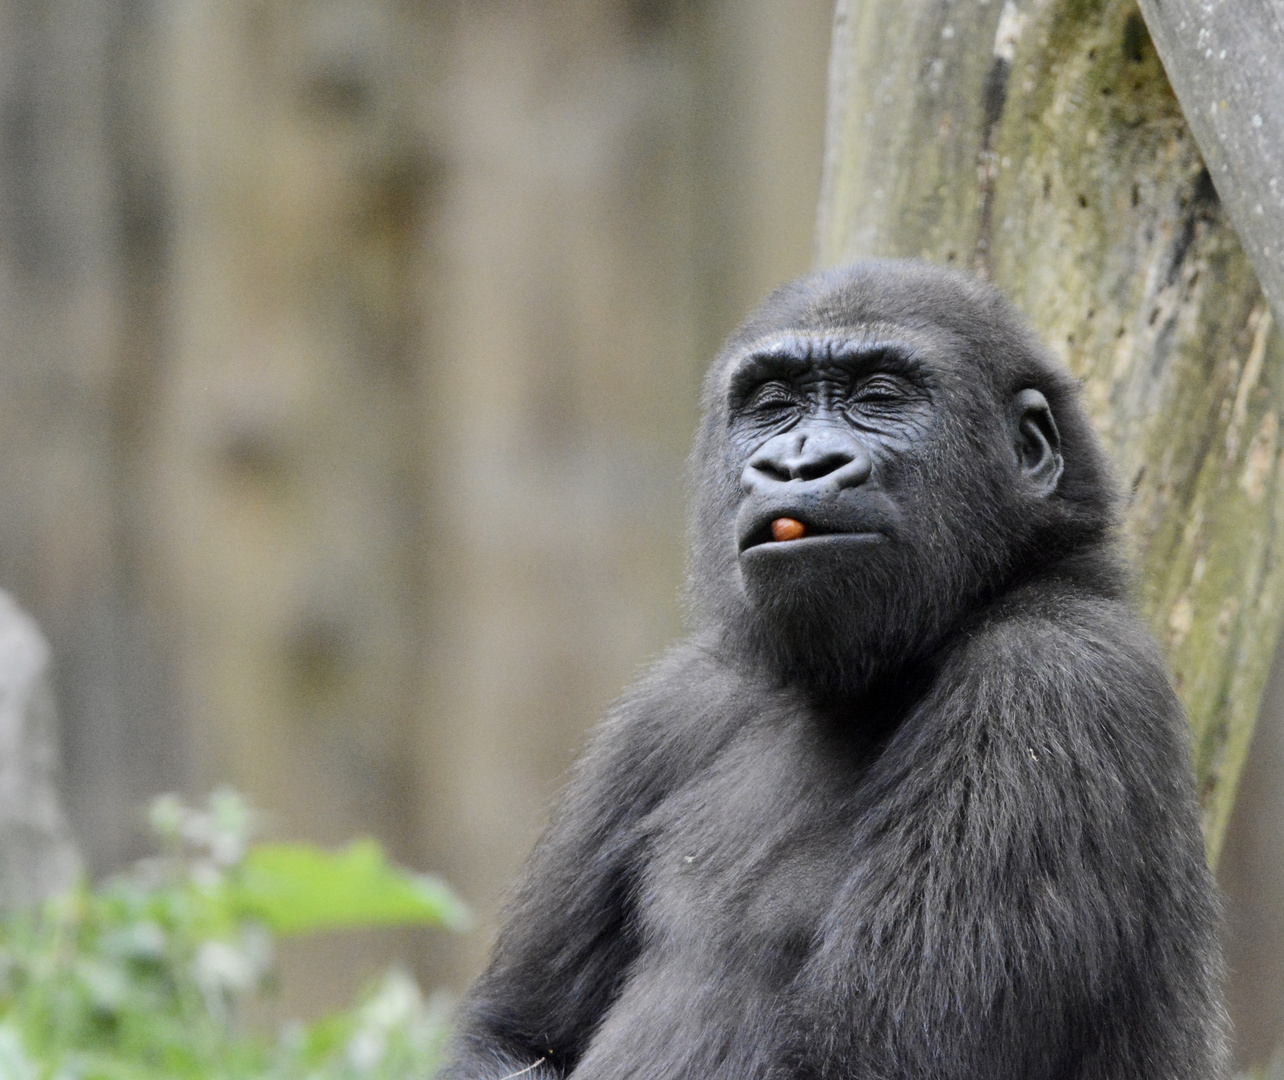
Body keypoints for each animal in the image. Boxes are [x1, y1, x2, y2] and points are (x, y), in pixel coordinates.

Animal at [439, 260, 1222, 1078]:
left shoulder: (1050, 678)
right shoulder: (669, 708)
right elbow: (516, 1028)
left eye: (880, 396)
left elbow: (870, 1057)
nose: (797, 464)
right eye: (773, 405)